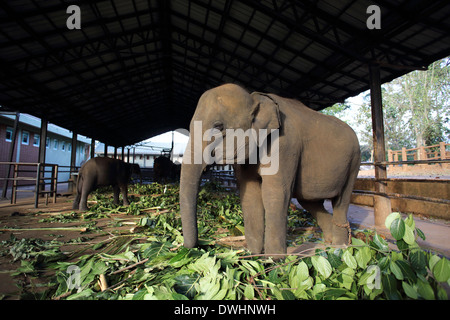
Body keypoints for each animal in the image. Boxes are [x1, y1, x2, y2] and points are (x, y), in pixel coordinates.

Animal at [179, 82, 358, 255]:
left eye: (218, 126)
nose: (197, 247)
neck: (255, 98)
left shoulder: (285, 144)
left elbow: (274, 193)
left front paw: (274, 260)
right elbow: (250, 194)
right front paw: (254, 254)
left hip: (353, 164)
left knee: (341, 202)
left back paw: (340, 247)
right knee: (310, 202)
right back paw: (330, 242)